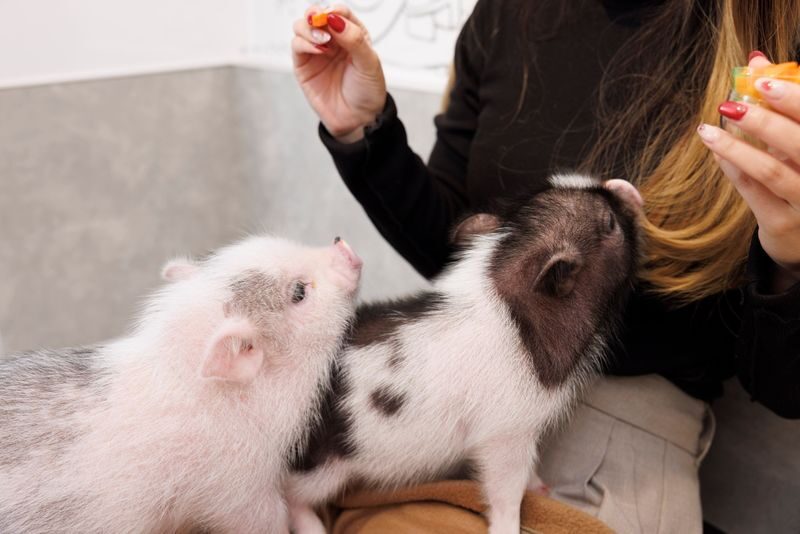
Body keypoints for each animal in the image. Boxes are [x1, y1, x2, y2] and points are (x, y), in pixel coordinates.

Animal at [286, 175, 643, 534]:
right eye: (609, 223)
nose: (621, 183)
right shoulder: (505, 433)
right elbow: (507, 490)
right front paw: (512, 522)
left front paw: (543, 488)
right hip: (322, 467)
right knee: (290, 499)